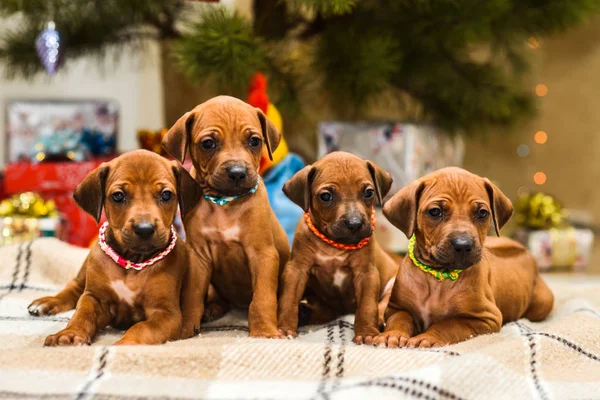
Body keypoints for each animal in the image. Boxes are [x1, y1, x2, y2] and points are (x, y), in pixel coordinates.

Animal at [28, 150, 209, 344]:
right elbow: (82, 314)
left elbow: (141, 328)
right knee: (74, 287)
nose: (144, 229)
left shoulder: (166, 312)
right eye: (118, 196)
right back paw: (47, 302)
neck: (132, 261)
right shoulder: (94, 297)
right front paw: (69, 333)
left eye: (166, 195)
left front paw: (125, 344)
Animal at [162, 96, 288, 338]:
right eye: (208, 143)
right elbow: (192, 296)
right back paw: (213, 309)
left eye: (254, 141)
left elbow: (263, 297)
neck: (225, 203)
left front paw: (265, 330)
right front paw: (185, 329)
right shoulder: (198, 257)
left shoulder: (263, 253)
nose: (237, 173)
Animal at [276, 152, 398, 346]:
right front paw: (285, 328)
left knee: (381, 307)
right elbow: (288, 300)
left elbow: (367, 306)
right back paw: (305, 313)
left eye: (369, 192)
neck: (334, 246)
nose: (355, 224)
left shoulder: (366, 274)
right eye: (326, 196)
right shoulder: (296, 270)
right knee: (325, 312)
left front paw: (366, 332)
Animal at [376, 167, 552, 348]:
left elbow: (449, 324)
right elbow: (399, 320)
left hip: (542, 303)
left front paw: (428, 337)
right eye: (435, 212)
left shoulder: (485, 318)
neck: (438, 277)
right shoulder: (397, 308)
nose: (463, 245)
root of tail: (525, 250)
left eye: (482, 213)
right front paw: (392, 335)